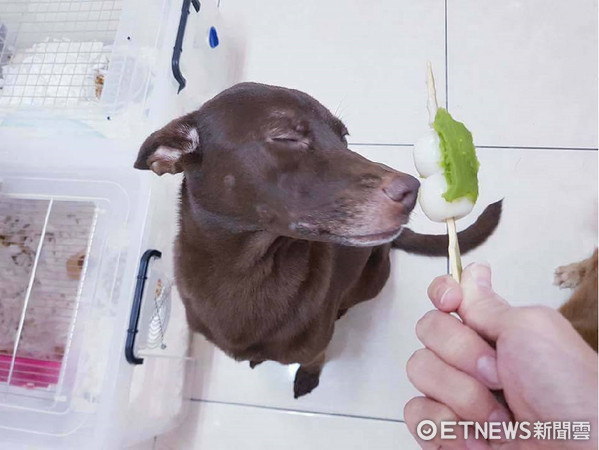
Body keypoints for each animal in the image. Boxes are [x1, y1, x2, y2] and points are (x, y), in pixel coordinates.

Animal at [135, 81, 502, 398]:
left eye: (344, 137)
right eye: (284, 136)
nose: (411, 190)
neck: (247, 272)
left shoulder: (316, 345)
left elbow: (315, 359)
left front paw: (307, 377)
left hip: (373, 279)